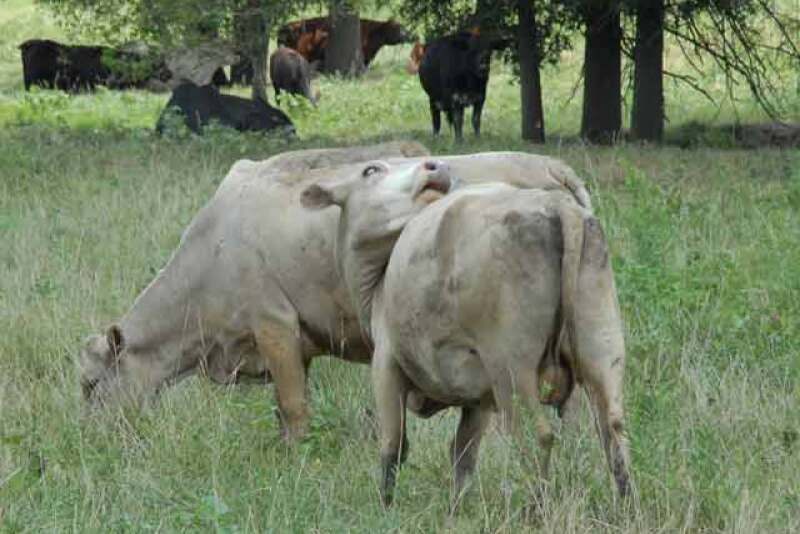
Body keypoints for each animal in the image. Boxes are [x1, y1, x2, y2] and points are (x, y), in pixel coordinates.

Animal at [78, 145, 592, 444]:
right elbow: (284, 409)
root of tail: (547, 164)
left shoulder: (274, 323)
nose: (89, 438)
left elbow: (293, 407)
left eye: (91, 385)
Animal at [300, 158, 630, 506]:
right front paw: (455, 507)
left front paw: (386, 507)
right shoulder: (478, 396)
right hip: (600, 340)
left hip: (511, 367)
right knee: (612, 429)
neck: (377, 284)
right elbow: (463, 454)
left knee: (537, 437)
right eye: (371, 170)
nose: (435, 166)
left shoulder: (386, 365)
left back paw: (535, 509)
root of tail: (558, 206)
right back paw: (625, 508)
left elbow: (393, 446)